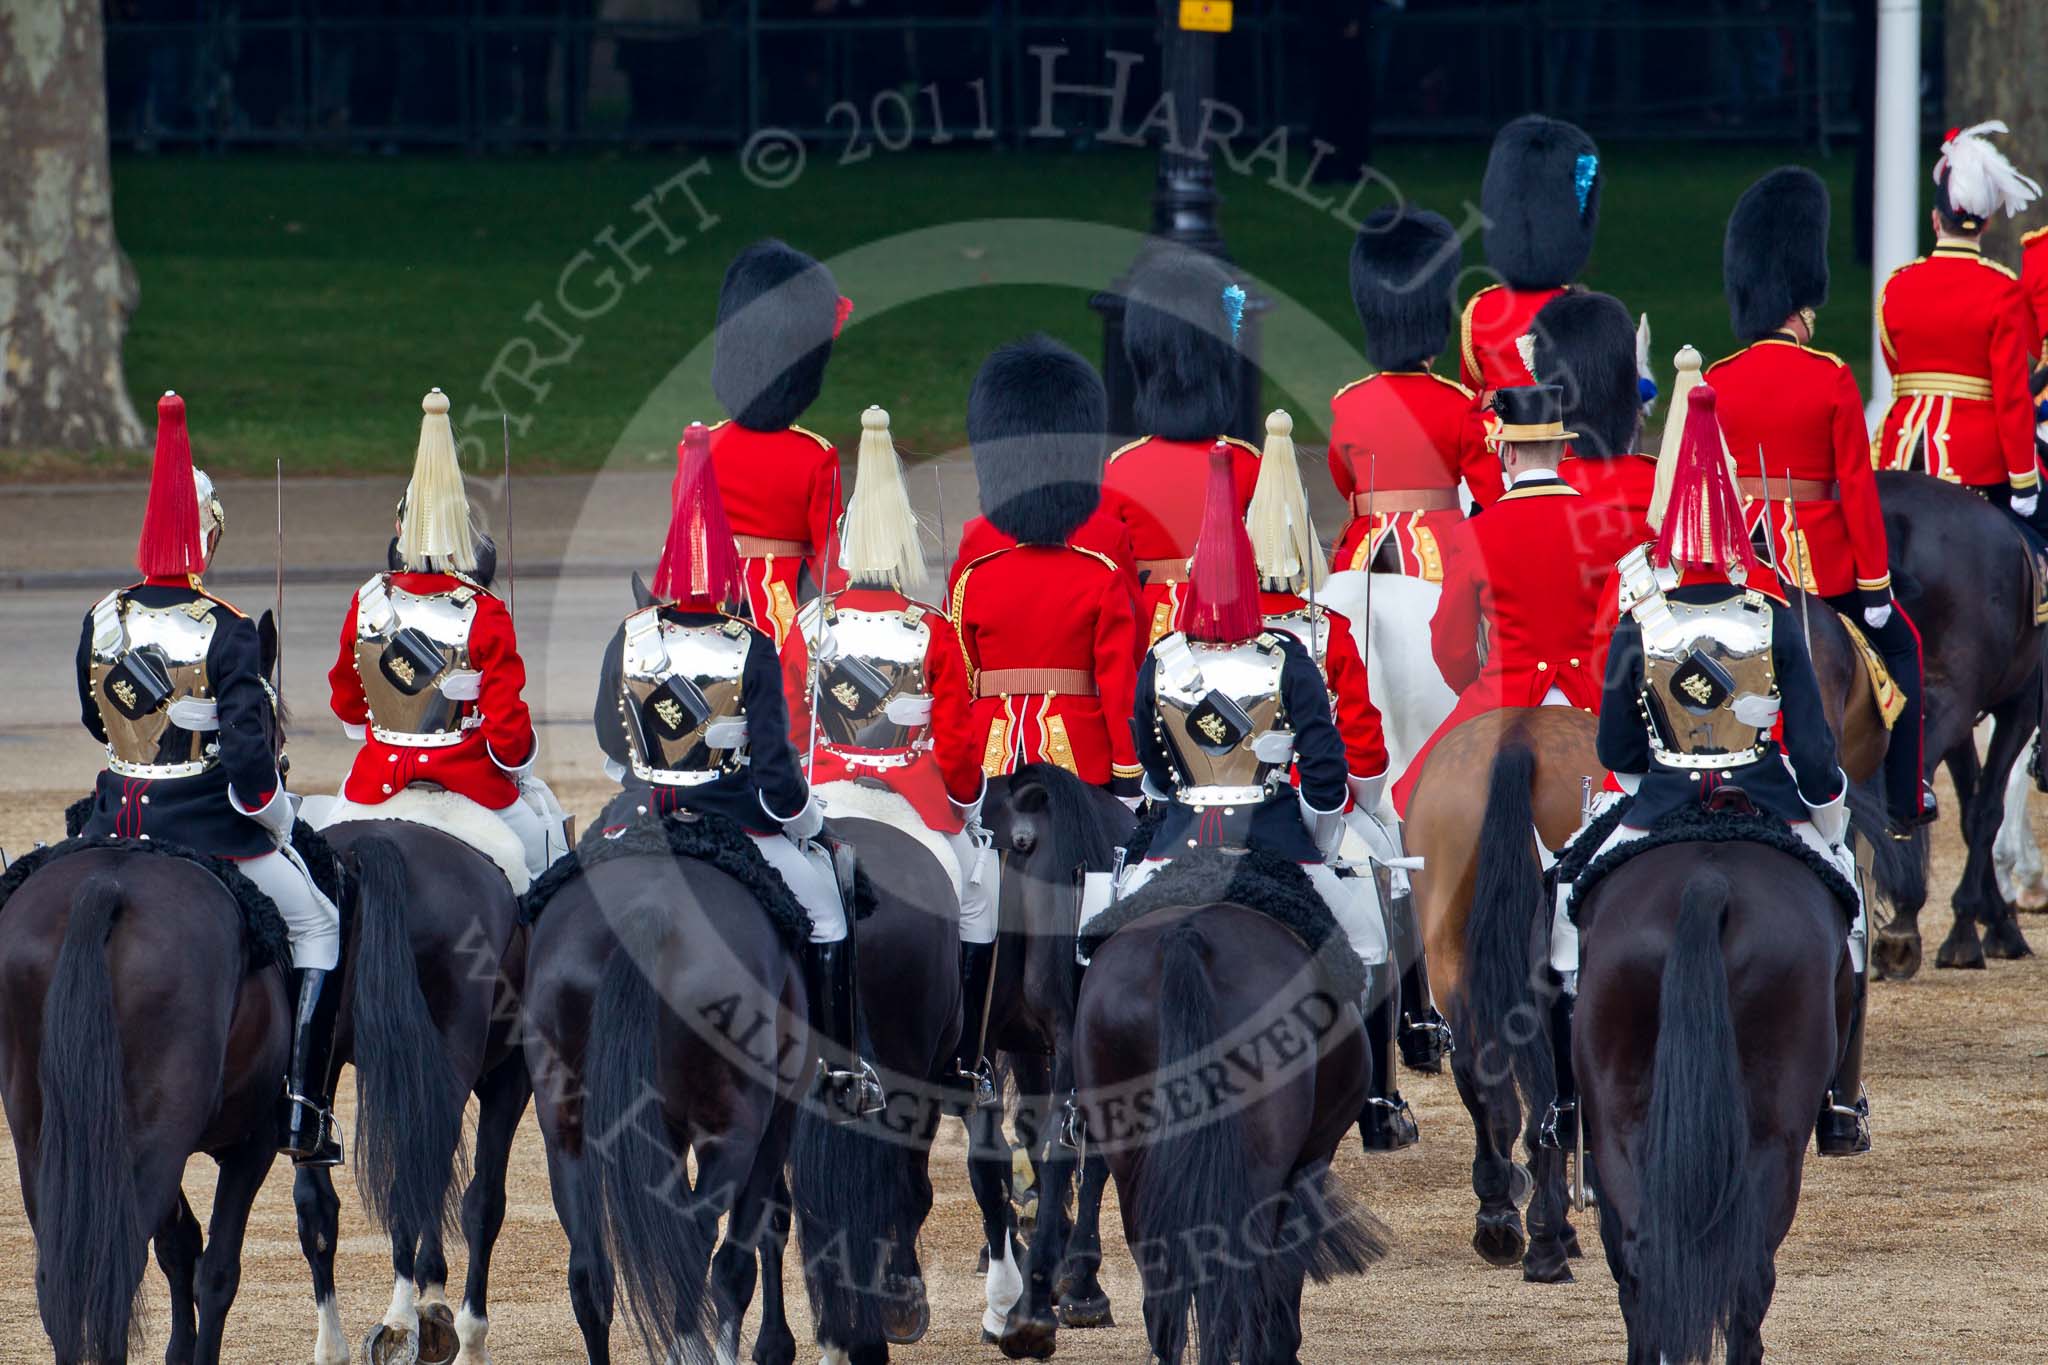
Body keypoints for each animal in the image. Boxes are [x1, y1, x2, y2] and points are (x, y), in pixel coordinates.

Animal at [0, 847, 290, 1358]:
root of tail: (105, 885)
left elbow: (180, 1247)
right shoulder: (255, 1141)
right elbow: (217, 1272)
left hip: (39, 1142)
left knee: (59, 1281)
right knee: (117, 1275)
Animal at [296, 822, 540, 1365]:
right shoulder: (509, 1077)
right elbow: (482, 1203)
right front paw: (457, 1326)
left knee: (316, 1205)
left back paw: (334, 1343)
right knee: (416, 1183)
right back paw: (400, 1320)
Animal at [1875, 470, 2048, 970]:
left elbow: (1971, 809)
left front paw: (1993, 919)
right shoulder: (2018, 706)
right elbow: (1987, 808)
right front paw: (1974, 928)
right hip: (1951, 699)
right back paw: (1901, 923)